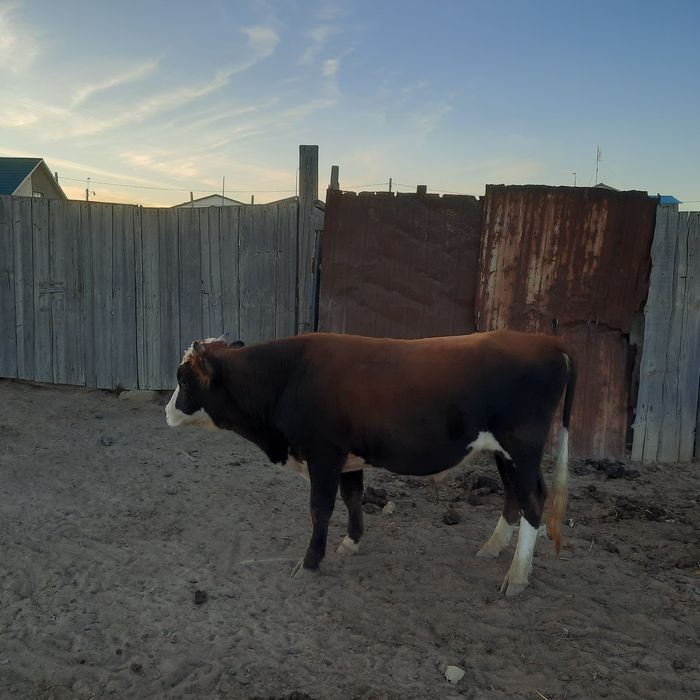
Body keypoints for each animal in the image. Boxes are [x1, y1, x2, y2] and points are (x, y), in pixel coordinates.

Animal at [165, 330, 576, 596]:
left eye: (183, 379)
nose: (167, 412)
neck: (289, 376)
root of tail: (546, 341)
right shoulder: (349, 458)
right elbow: (352, 498)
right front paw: (351, 543)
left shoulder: (324, 454)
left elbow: (320, 509)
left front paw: (309, 562)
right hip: (504, 454)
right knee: (514, 497)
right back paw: (493, 548)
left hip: (521, 448)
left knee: (533, 502)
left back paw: (517, 576)